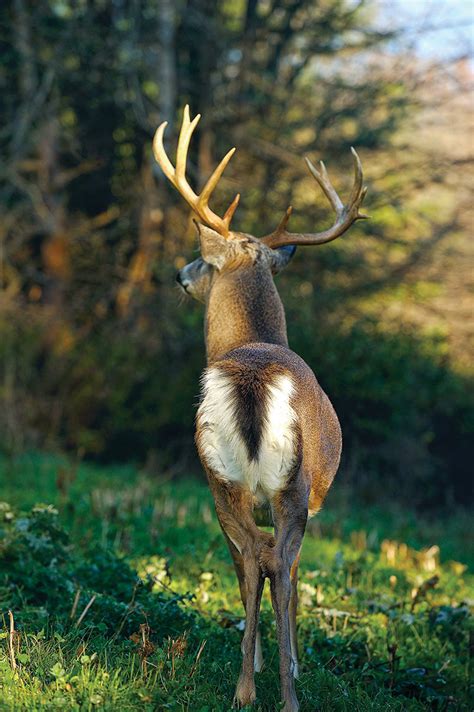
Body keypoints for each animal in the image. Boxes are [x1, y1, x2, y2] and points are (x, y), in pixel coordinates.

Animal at [154, 107, 368, 712]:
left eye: (204, 263)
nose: (179, 274)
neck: (253, 340)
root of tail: (252, 377)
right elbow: (284, 570)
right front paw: (285, 664)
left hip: (223, 476)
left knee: (255, 557)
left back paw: (248, 688)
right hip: (288, 484)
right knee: (272, 561)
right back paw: (279, 692)